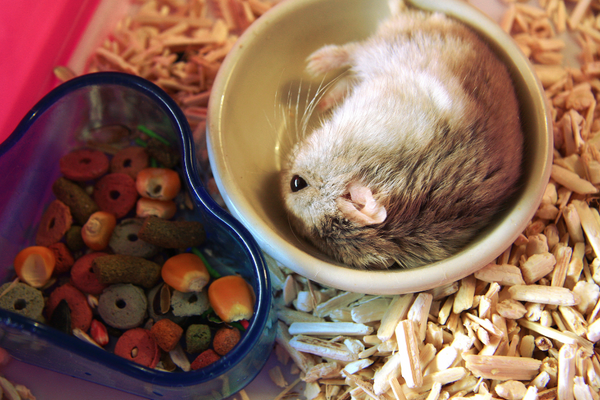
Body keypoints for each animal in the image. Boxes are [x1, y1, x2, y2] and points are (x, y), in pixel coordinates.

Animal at [278, 9, 524, 270]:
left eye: (296, 183)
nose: (278, 171)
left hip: (386, 48)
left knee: (355, 51)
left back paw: (316, 66)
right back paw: (321, 88)